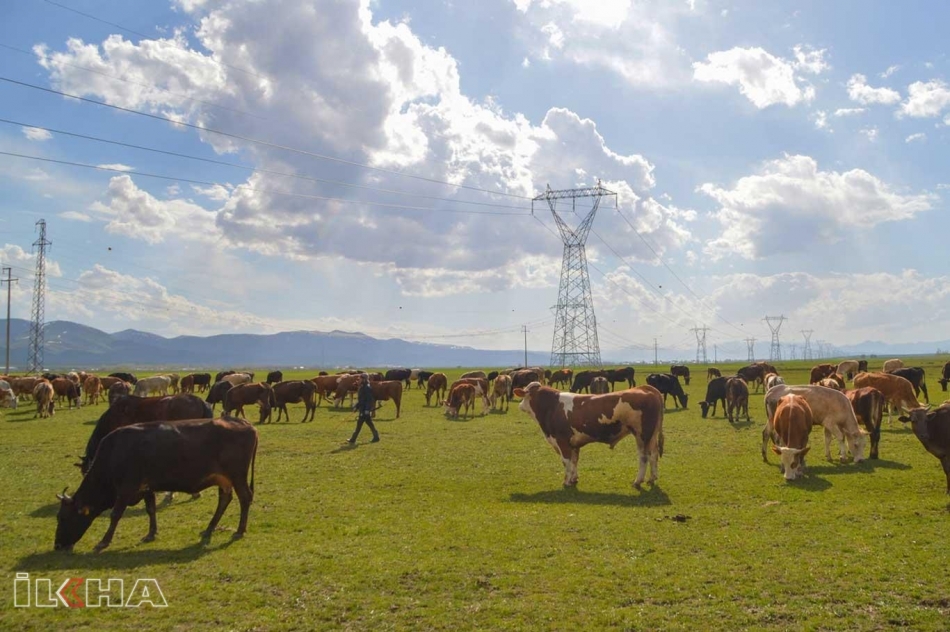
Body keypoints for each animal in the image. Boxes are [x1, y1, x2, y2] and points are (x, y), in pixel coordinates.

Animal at [55, 420, 256, 552]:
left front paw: (103, 542)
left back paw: (240, 530)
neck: (113, 455)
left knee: (244, 497)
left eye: (62, 518)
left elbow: (115, 515)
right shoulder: (146, 488)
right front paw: (151, 533)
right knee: (225, 498)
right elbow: (151, 509)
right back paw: (210, 528)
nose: (57, 545)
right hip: (224, 479)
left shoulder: (126, 489)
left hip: (237, 476)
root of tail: (245, 425)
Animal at [516, 380, 664, 488]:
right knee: (654, 454)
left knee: (644, 457)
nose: (520, 405)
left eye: (525, 394)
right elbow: (574, 460)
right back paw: (652, 478)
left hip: (642, 435)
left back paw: (638, 481)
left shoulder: (562, 441)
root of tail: (644, 388)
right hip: (652, 435)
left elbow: (566, 461)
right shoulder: (573, 443)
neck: (552, 406)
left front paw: (566, 482)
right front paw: (574, 479)